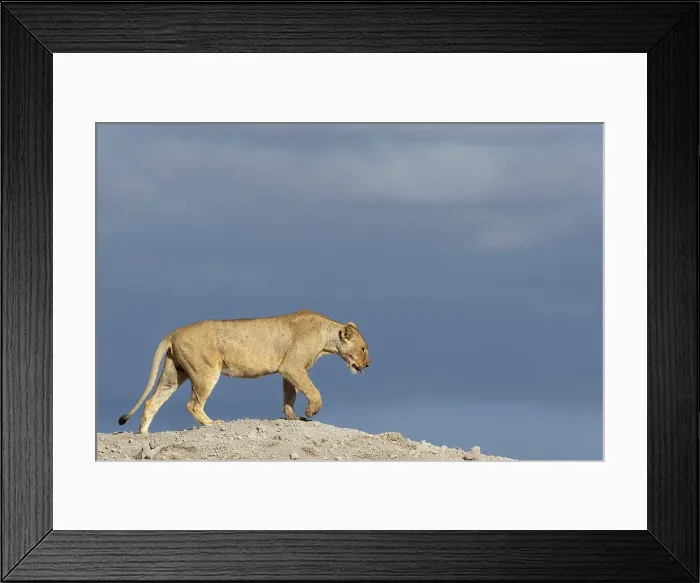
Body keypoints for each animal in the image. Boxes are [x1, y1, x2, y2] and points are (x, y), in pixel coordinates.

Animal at [117, 310, 370, 434]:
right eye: (363, 349)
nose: (368, 365)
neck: (326, 337)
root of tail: (173, 332)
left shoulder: (288, 370)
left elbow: (290, 396)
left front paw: (292, 417)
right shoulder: (293, 366)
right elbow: (313, 391)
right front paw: (310, 411)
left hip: (174, 373)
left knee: (152, 401)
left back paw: (143, 434)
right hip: (206, 372)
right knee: (193, 404)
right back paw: (212, 424)